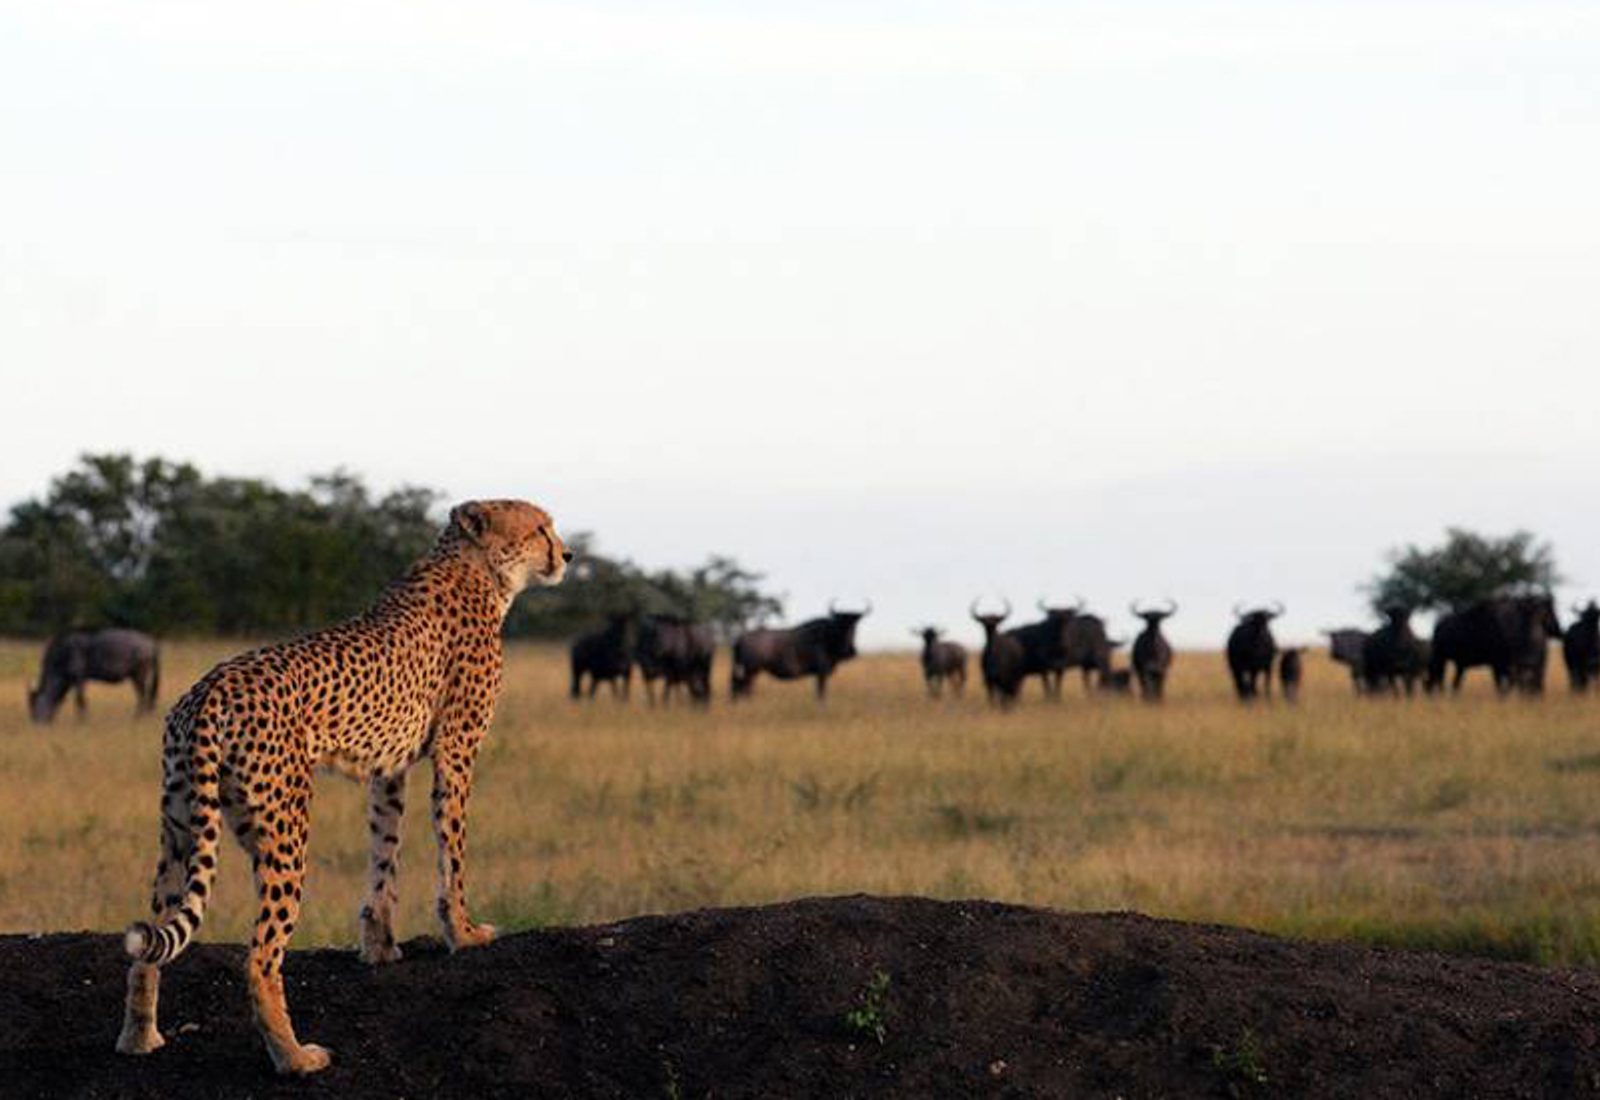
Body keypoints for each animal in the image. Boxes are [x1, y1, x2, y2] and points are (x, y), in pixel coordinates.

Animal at [114, 498, 570, 1074]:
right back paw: (294, 1057)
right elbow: (453, 850)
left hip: (181, 827)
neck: (476, 567)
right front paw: (465, 933)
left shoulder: (389, 768)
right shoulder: (456, 752)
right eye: (539, 528)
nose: (567, 554)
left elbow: (384, 852)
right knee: (259, 955)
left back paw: (139, 1038)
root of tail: (211, 688)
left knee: (149, 945)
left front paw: (380, 946)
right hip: (284, 829)